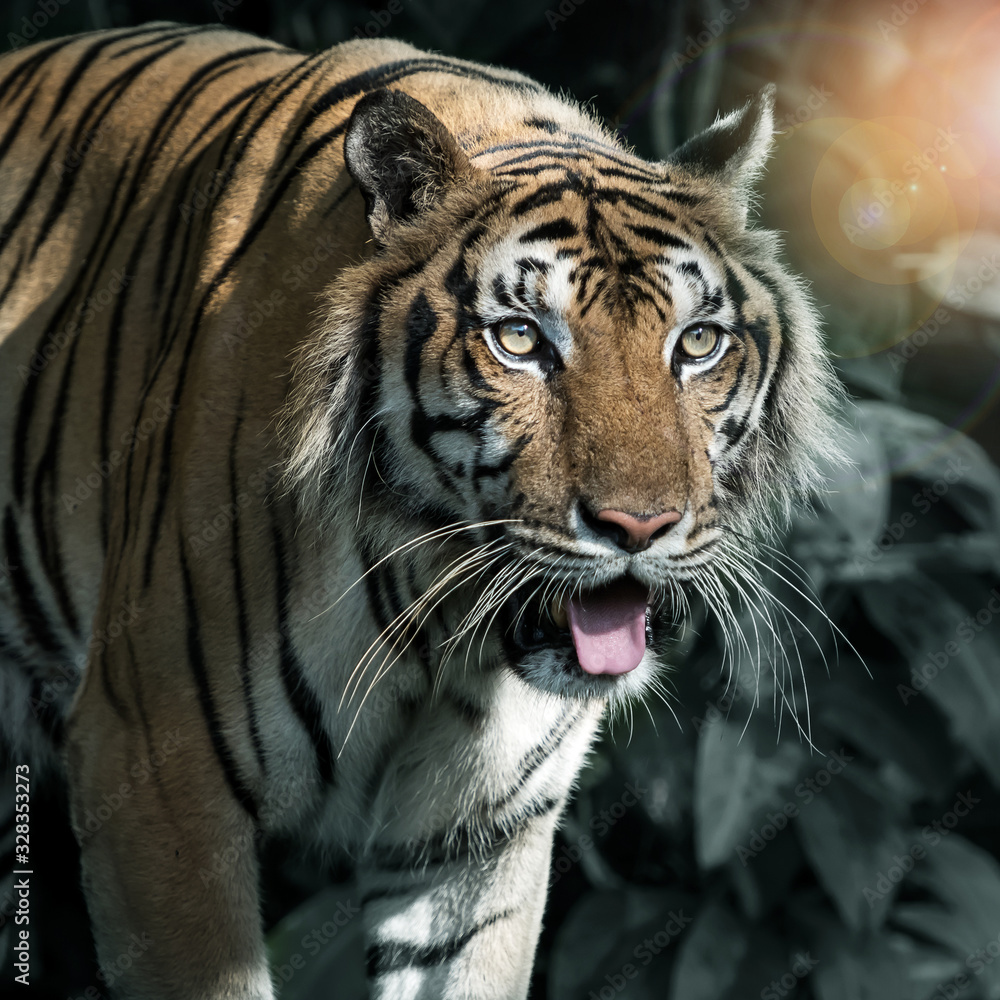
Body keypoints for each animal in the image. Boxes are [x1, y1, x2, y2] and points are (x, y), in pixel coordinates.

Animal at [0, 21, 843, 1000]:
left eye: (698, 342)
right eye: (520, 340)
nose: (639, 528)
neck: (433, 603)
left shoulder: (476, 836)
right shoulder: (155, 774)